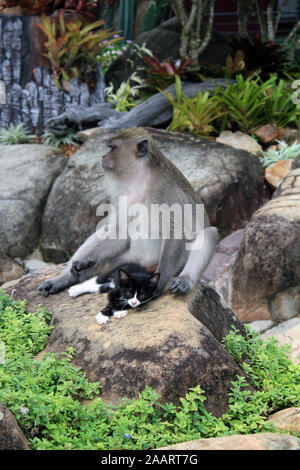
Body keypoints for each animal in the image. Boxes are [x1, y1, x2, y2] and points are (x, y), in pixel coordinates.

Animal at [39, 126, 218, 298]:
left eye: (113, 148)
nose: (103, 156)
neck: (140, 179)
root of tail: (147, 266)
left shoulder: (165, 191)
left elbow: (176, 232)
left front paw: (160, 282)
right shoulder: (123, 195)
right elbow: (119, 231)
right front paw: (85, 261)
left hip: (177, 263)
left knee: (209, 233)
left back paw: (185, 280)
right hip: (125, 261)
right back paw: (63, 279)